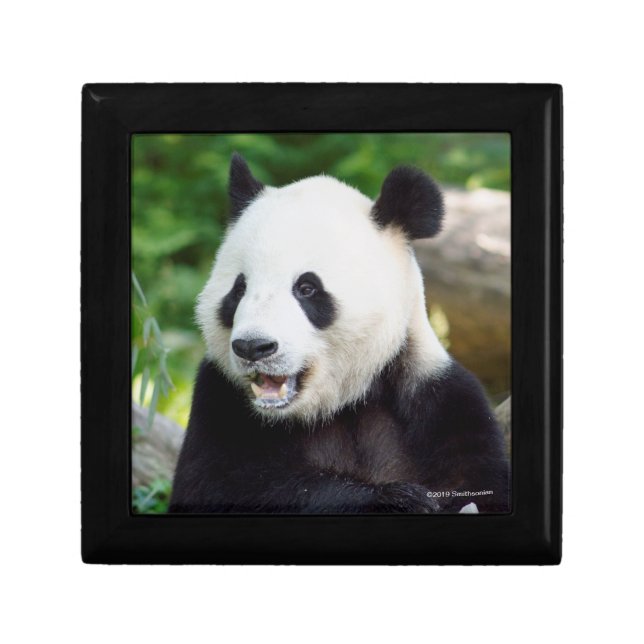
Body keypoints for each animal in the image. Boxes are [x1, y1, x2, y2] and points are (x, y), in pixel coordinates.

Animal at [169, 153, 510, 514]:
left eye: (307, 288)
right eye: (239, 289)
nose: (253, 346)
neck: (338, 404)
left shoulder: (442, 402)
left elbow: (477, 484)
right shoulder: (217, 398)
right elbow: (221, 486)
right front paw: (396, 499)